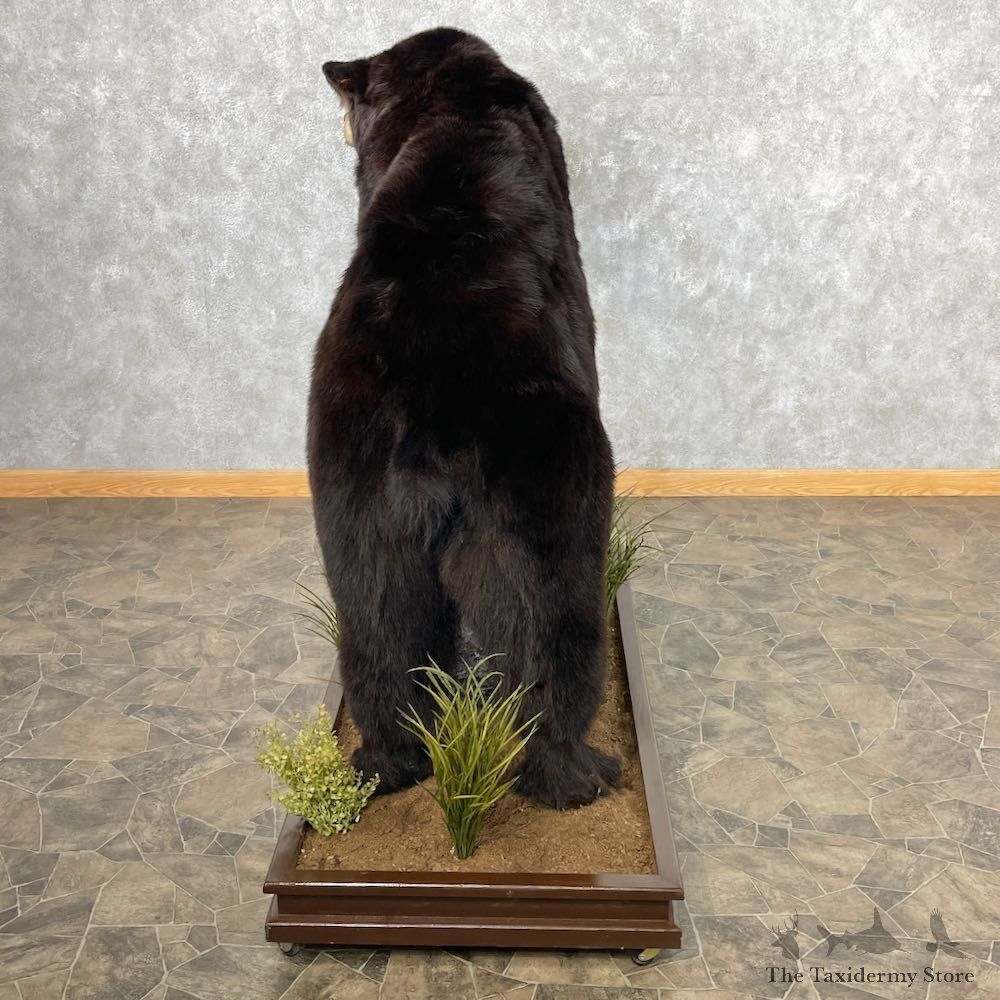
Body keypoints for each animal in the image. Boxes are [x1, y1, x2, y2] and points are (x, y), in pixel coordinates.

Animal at [307, 27, 619, 808]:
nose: (334, 105)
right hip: (543, 482)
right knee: (548, 635)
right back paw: (577, 772)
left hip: (353, 489)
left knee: (379, 624)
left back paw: (387, 761)